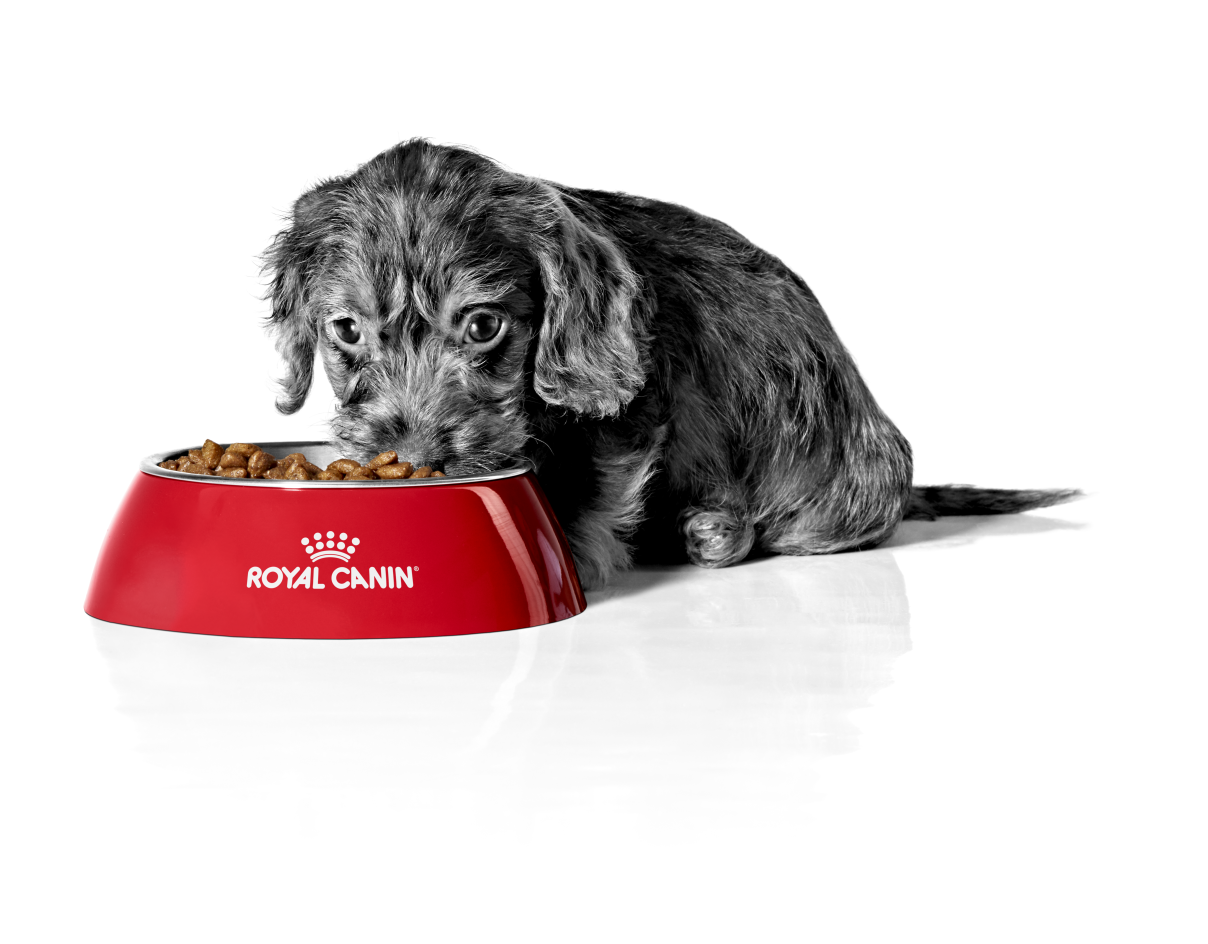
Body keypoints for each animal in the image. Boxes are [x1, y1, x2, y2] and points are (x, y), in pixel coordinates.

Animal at [262, 139, 1077, 585]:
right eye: (346, 331)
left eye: (484, 324)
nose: (414, 461)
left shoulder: (634, 416)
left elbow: (595, 490)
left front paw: (573, 557)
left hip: (853, 496)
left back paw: (714, 528)